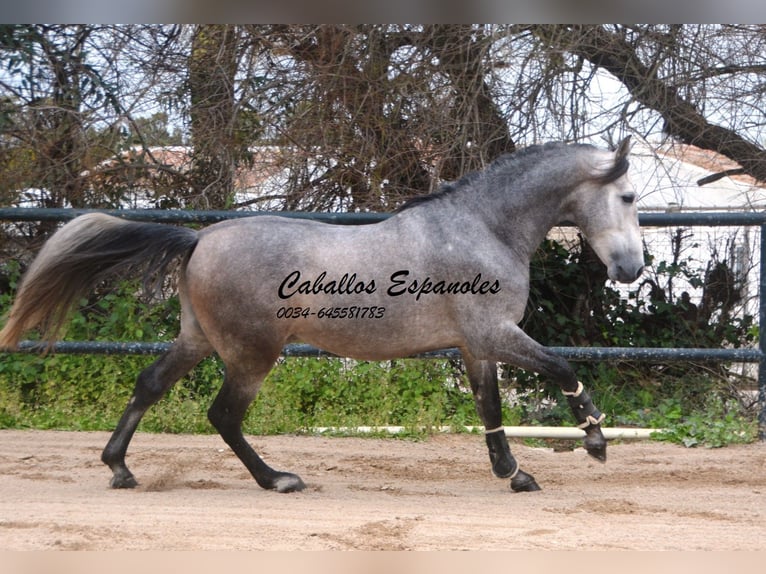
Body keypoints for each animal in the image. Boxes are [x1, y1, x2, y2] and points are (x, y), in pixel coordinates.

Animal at [3, 138, 644, 496]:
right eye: (631, 197)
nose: (632, 269)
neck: (483, 228)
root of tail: (198, 239)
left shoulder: (475, 345)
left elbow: (490, 410)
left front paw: (515, 475)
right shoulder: (496, 333)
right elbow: (562, 369)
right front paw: (594, 441)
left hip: (199, 340)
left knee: (150, 385)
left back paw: (119, 469)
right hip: (253, 354)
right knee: (223, 415)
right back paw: (279, 480)